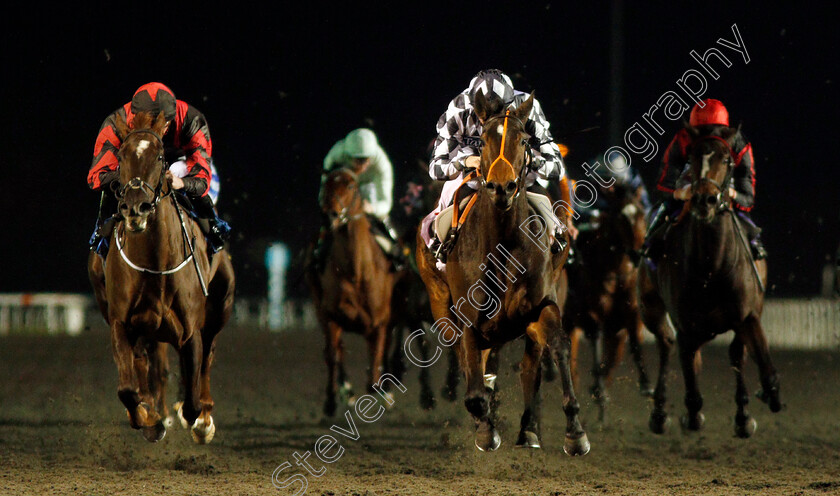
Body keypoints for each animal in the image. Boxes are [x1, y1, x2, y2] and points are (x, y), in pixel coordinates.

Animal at [85, 111, 235, 442]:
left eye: (160, 157)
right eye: (121, 156)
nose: (135, 207)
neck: (154, 263)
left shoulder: (190, 331)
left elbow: (191, 399)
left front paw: (198, 420)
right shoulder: (121, 323)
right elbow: (127, 389)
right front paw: (149, 418)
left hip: (221, 304)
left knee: (208, 355)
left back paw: (204, 418)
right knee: (144, 363)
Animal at [308, 169, 398, 416]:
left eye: (350, 186)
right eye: (326, 184)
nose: (329, 215)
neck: (357, 272)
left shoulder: (380, 321)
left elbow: (376, 360)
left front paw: (382, 391)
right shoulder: (330, 315)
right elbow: (332, 353)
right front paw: (331, 400)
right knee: (337, 350)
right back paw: (345, 391)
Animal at [416, 91, 588, 456]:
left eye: (523, 139)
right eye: (482, 140)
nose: (501, 188)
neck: (503, 243)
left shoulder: (542, 305)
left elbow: (558, 346)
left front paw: (575, 431)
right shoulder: (467, 317)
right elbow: (474, 385)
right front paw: (485, 429)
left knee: (528, 366)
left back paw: (529, 430)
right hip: (441, 306)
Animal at [568, 180, 652, 420]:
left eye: (642, 213)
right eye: (621, 217)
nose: (637, 254)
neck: (615, 273)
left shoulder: (630, 317)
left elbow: (632, 345)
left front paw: (646, 384)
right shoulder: (593, 315)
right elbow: (596, 352)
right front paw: (599, 392)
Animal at [640, 124, 784, 438]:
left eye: (727, 160)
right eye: (692, 158)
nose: (704, 200)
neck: (711, 267)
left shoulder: (748, 315)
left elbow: (760, 365)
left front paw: (760, 402)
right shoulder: (685, 325)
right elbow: (692, 391)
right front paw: (691, 416)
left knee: (733, 354)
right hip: (650, 309)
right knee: (665, 344)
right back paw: (658, 413)